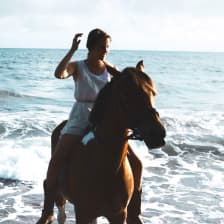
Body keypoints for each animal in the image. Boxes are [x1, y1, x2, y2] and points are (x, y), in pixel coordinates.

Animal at [52, 61, 164, 224]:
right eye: (126, 94)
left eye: (152, 93)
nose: (158, 134)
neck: (107, 167)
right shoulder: (83, 212)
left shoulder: (118, 214)